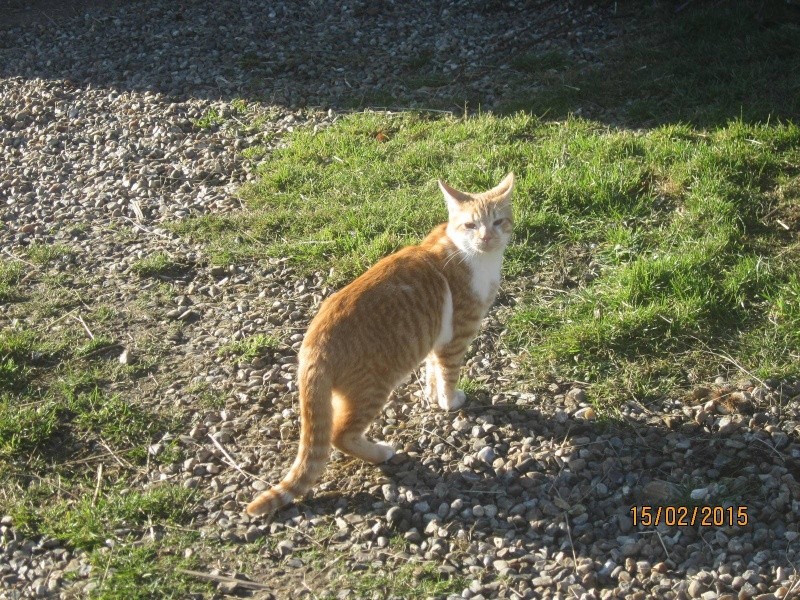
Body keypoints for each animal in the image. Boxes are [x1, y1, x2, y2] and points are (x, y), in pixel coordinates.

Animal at [247, 172, 516, 516]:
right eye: (470, 225)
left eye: (497, 222)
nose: (486, 237)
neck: (473, 257)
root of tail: (312, 346)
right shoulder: (456, 338)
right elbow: (448, 374)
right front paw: (449, 401)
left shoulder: (434, 339)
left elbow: (432, 370)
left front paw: (432, 396)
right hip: (373, 389)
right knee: (339, 435)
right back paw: (381, 453)